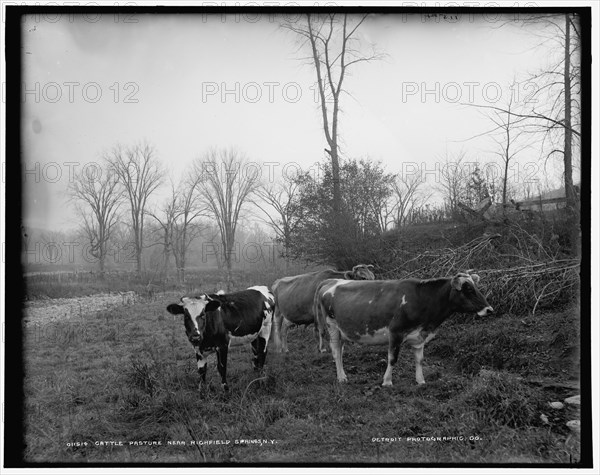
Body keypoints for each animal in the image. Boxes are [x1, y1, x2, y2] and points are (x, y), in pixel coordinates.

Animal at [314, 276, 492, 386]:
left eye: (476, 287)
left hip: (343, 330)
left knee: (340, 351)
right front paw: (387, 381)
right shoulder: (395, 332)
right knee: (336, 351)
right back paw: (342, 377)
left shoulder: (419, 335)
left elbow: (419, 359)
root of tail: (331, 280)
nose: (489, 309)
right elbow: (393, 359)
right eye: (468, 289)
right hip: (332, 326)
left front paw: (421, 381)